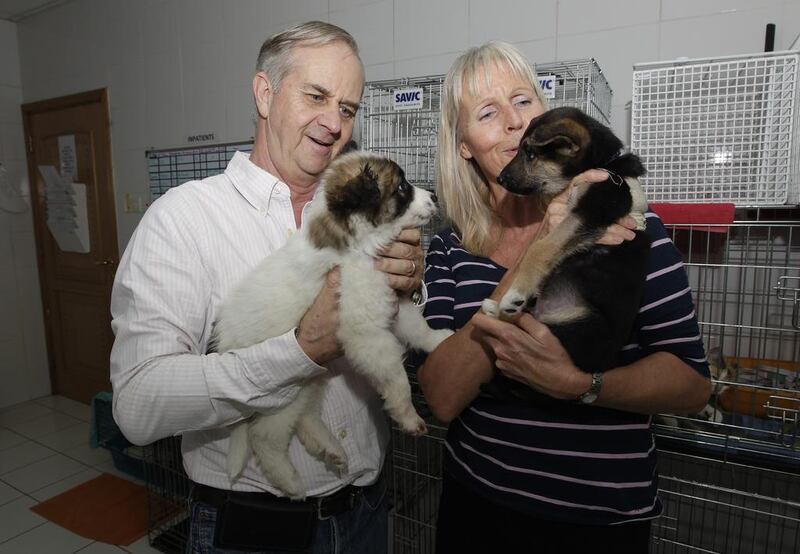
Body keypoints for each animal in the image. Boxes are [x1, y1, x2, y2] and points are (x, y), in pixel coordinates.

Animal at [209, 150, 454, 496]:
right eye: (402, 187)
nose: (433, 196)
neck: (359, 240)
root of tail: (226, 344)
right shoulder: (364, 328)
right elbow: (396, 380)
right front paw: (408, 416)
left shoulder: (388, 298)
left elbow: (417, 327)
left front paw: (439, 339)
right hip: (283, 391)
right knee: (265, 436)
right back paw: (290, 482)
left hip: (311, 377)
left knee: (306, 418)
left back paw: (330, 451)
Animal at [484, 105, 652, 376]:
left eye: (531, 154)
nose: (500, 179)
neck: (605, 165)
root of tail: (602, 363)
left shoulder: (591, 212)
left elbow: (539, 248)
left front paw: (515, 293)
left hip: (577, 323)